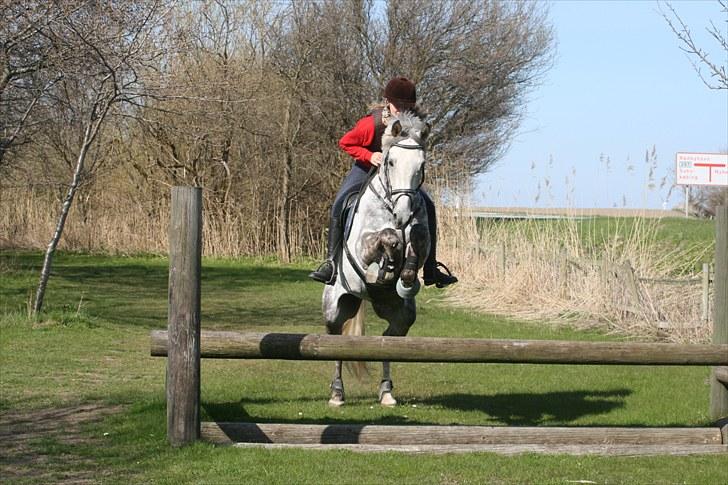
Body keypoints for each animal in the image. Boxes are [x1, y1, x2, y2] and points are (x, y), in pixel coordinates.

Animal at [322, 111, 430, 406]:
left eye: (421, 164)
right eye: (391, 162)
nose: (402, 214)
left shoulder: (421, 237)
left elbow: (417, 238)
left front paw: (405, 276)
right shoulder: (361, 246)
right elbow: (385, 238)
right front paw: (383, 266)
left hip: (401, 315)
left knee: (387, 342)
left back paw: (387, 392)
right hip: (334, 307)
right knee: (335, 339)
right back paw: (337, 393)